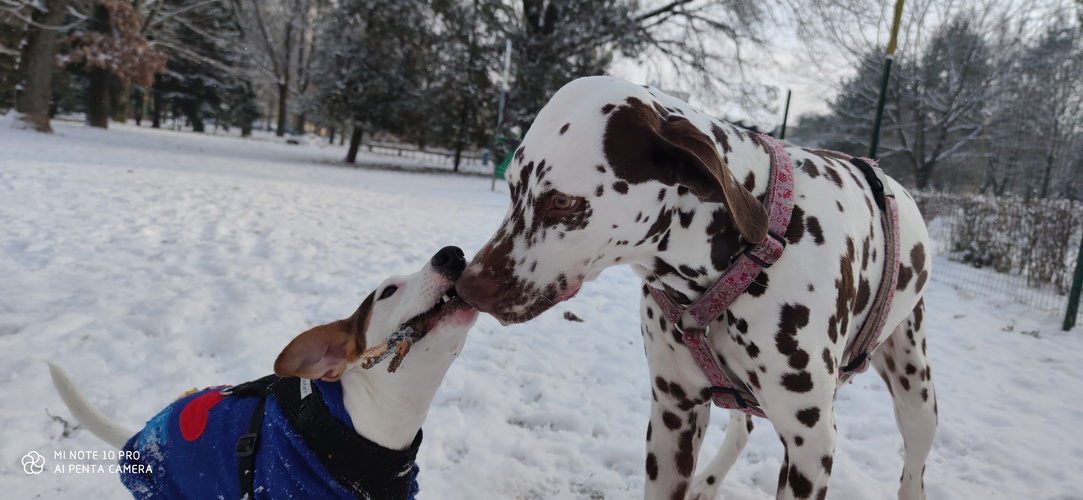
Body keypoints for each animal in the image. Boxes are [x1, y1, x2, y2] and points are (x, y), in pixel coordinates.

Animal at [452, 77, 935, 500]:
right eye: (512, 187)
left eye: (562, 201)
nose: (466, 286)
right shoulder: (674, 417)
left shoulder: (810, 445)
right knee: (744, 426)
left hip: (916, 393)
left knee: (913, 471)